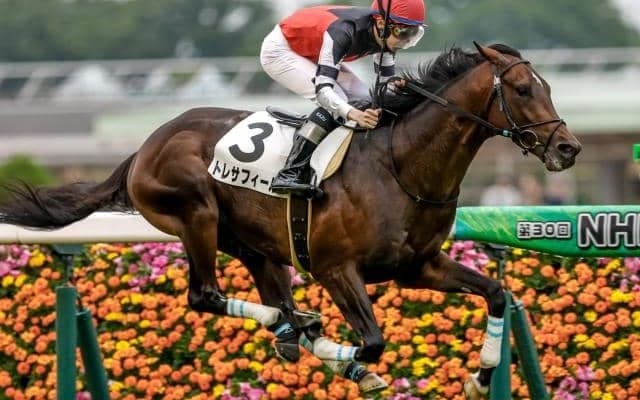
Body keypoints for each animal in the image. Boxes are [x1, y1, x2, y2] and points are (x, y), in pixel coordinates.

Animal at [0, 43, 581, 398]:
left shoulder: (420, 267)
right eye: (524, 90)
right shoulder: (335, 268)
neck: (400, 165)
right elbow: (373, 340)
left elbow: (497, 294)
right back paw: (305, 330)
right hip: (196, 215)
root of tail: (143, 147)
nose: (568, 148)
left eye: (549, 86)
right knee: (206, 296)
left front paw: (480, 379)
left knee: (270, 296)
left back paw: (296, 326)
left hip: (255, 245)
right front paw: (348, 361)